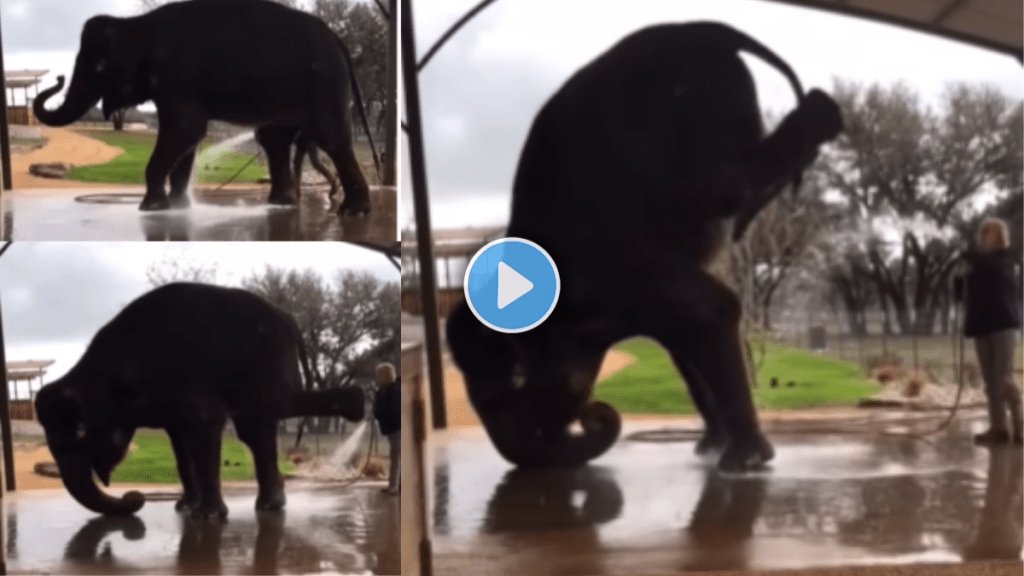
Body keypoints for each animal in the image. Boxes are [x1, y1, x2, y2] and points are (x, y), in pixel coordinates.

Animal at [32, 0, 378, 215]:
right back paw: (281, 204)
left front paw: (151, 207)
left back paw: (353, 212)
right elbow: (188, 139)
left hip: (324, 83)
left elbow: (185, 131)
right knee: (275, 141)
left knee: (330, 137)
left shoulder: (177, 78)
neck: (137, 25)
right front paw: (178, 206)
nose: (57, 78)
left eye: (99, 66)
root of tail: (337, 39)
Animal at [34, 280, 366, 518]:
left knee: (273, 407)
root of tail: (287, 316)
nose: (134, 497)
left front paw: (205, 517)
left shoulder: (188, 384)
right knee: (256, 426)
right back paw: (271, 504)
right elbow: (180, 444)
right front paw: (185, 508)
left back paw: (359, 405)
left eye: (80, 429)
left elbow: (205, 423)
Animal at [446, 21, 839, 471]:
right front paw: (710, 448)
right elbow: (683, 340)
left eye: (506, 389)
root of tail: (706, 27)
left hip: (710, 92)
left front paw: (741, 461)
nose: (596, 415)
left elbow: (714, 307)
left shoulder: (626, 271)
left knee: (726, 185)